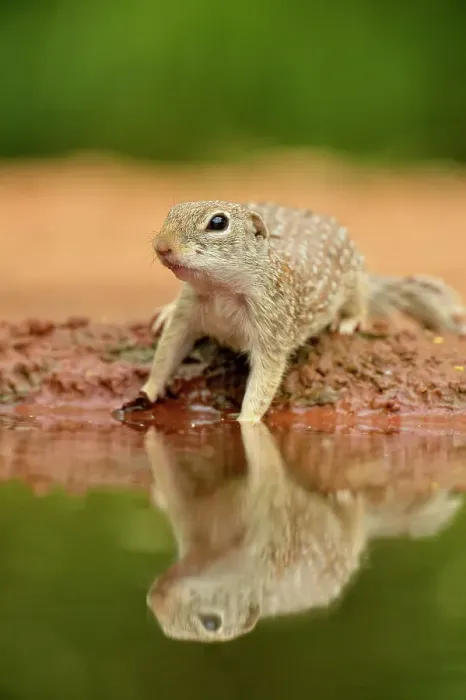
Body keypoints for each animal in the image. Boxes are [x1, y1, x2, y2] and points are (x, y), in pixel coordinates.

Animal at [121, 201, 466, 423]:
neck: (221, 291)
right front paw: (148, 391)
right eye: (170, 212)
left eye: (218, 223)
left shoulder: (273, 327)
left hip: (354, 277)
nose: (161, 245)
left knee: (360, 299)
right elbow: (167, 351)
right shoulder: (188, 311)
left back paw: (349, 320)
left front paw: (245, 420)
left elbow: (266, 377)